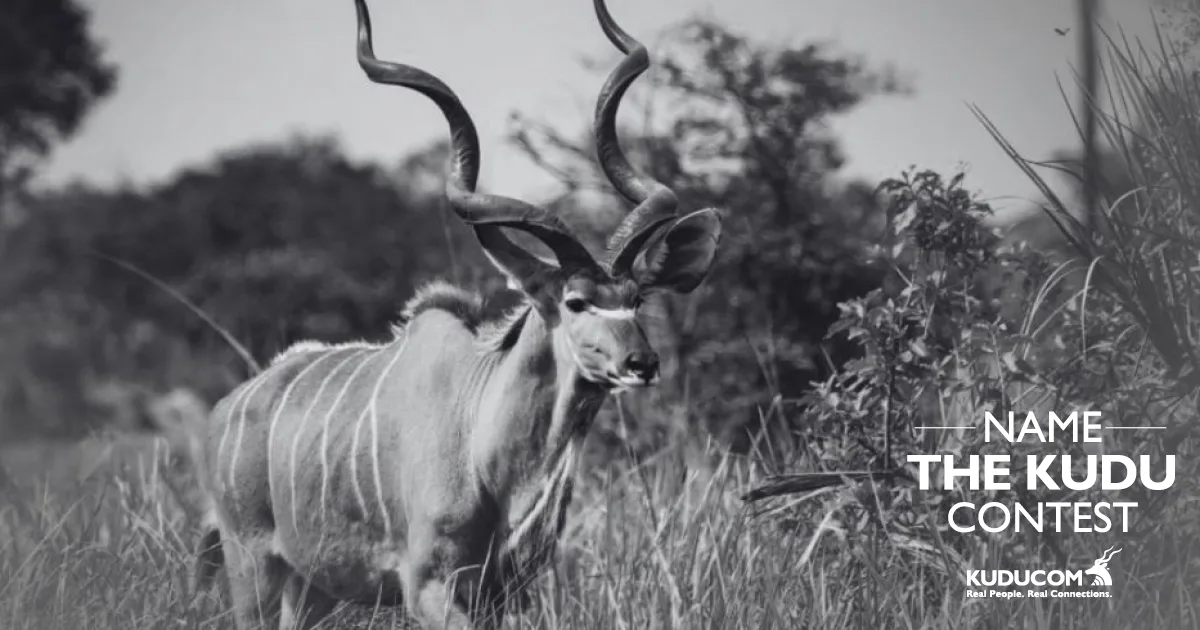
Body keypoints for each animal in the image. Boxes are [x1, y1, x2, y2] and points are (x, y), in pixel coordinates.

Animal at [193, 0, 721, 628]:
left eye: (637, 298)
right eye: (574, 302)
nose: (642, 362)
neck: (483, 446)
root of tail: (225, 411)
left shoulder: (504, 593)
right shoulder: (429, 586)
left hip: (310, 589)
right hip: (252, 566)